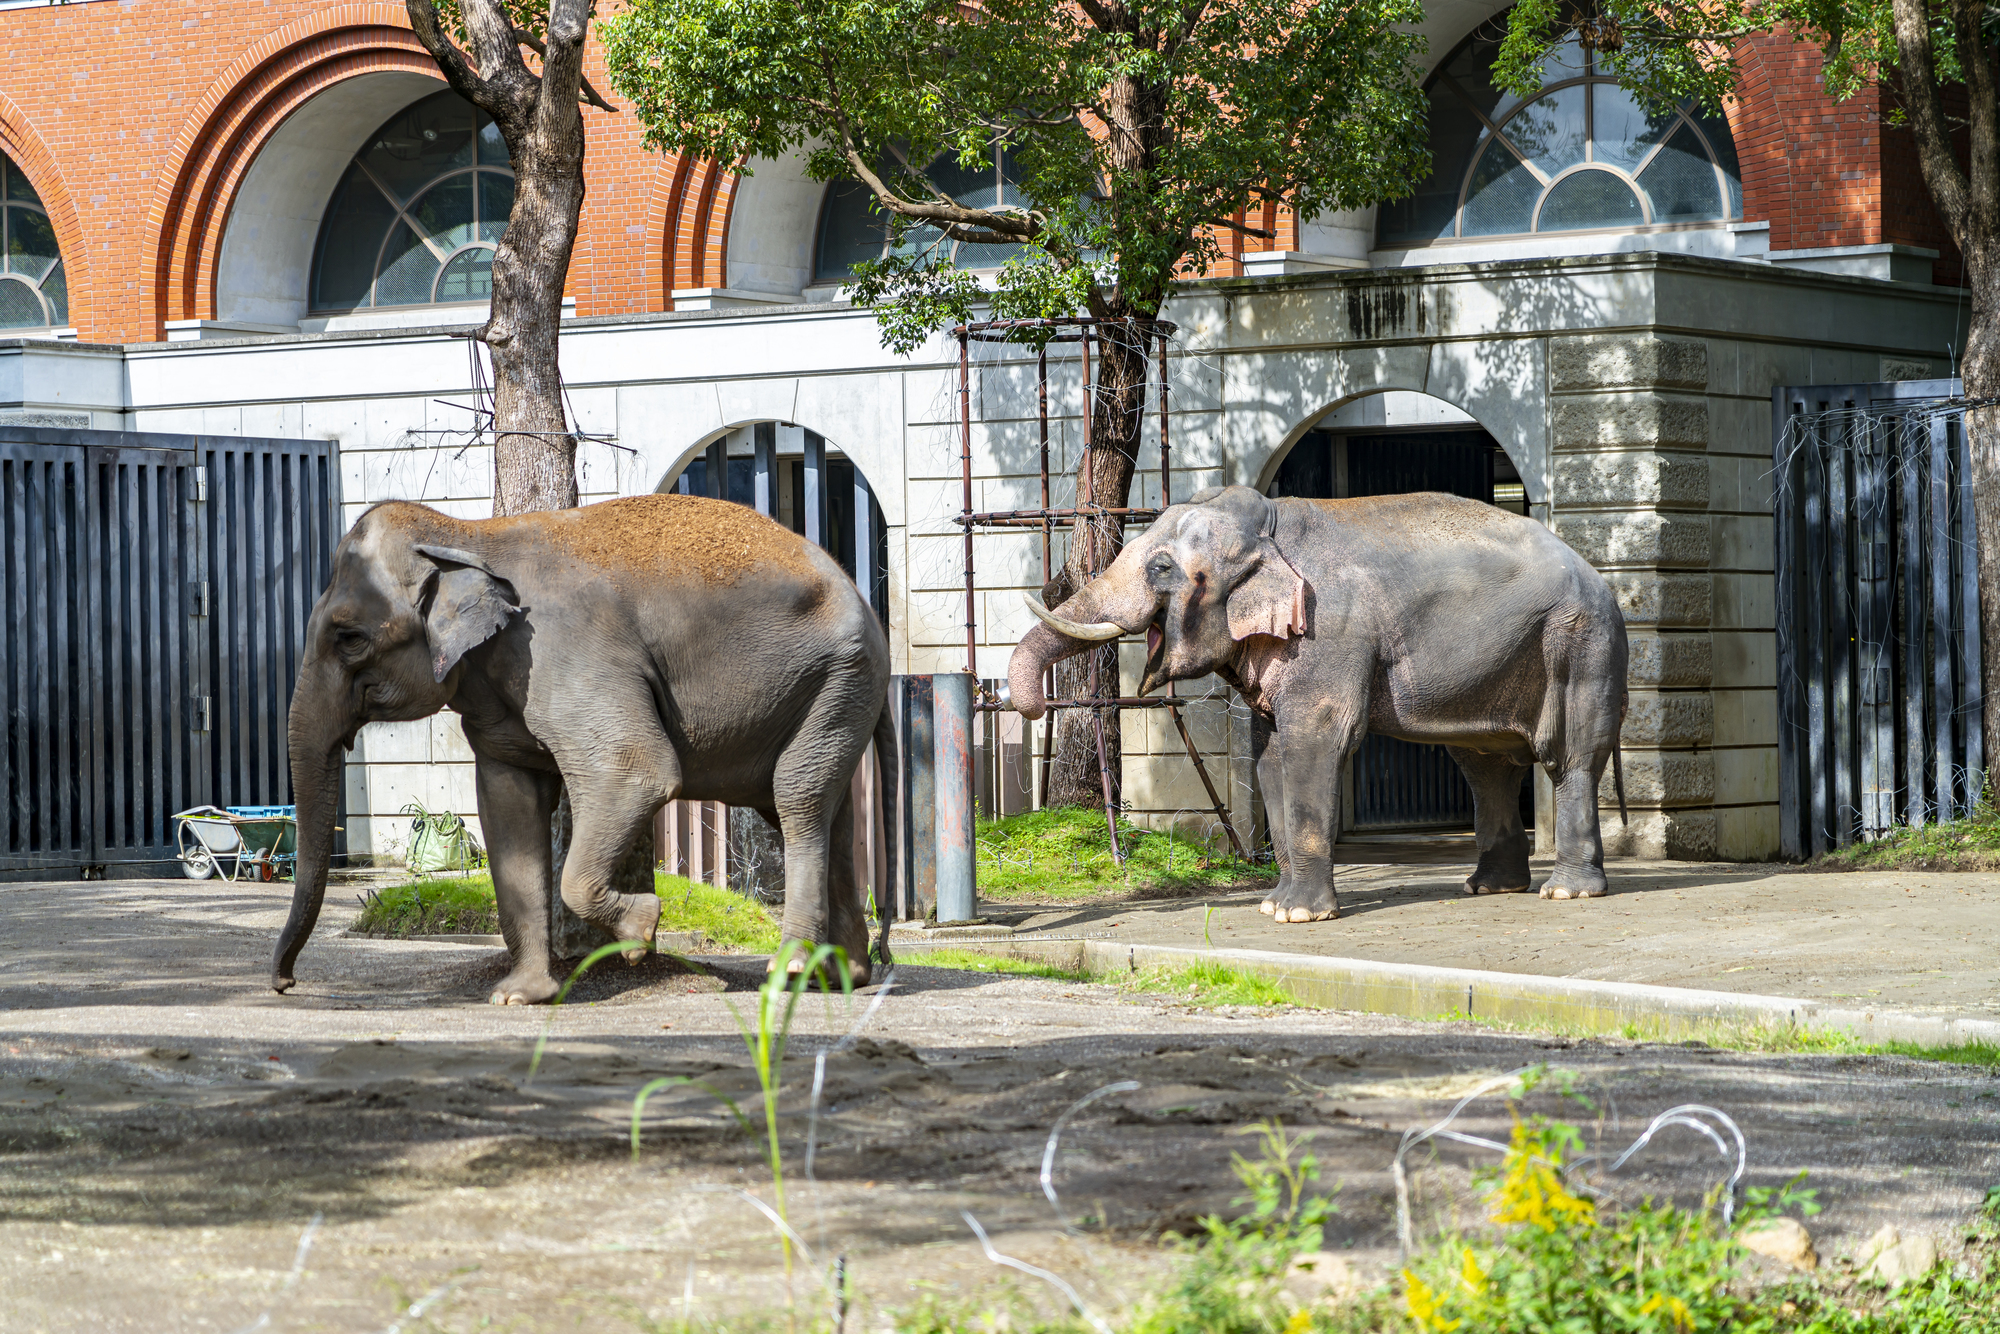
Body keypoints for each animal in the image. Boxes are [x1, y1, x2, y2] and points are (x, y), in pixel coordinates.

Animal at [270, 496, 896, 1008]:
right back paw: (844, 976)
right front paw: (519, 997)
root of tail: (868, 607)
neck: (469, 532)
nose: (285, 982)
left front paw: (641, 932)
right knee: (823, 808)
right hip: (831, 690)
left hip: (840, 674)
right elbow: (509, 811)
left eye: (349, 639)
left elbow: (636, 771)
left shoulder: (566, 654)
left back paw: (789, 972)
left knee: (797, 800)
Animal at [1008, 486, 1632, 924]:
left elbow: (1315, 739)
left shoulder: (1329, 629)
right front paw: (1275, 906)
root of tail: (1600, 576)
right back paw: (1489, 887)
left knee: (1569, 758)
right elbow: (1271, 755)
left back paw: (1566, 892)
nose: (1035, 709)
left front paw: (1299, 915)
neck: (1268, 526)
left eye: (1162, 568)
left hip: (1580, 644)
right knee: (1486, 764)